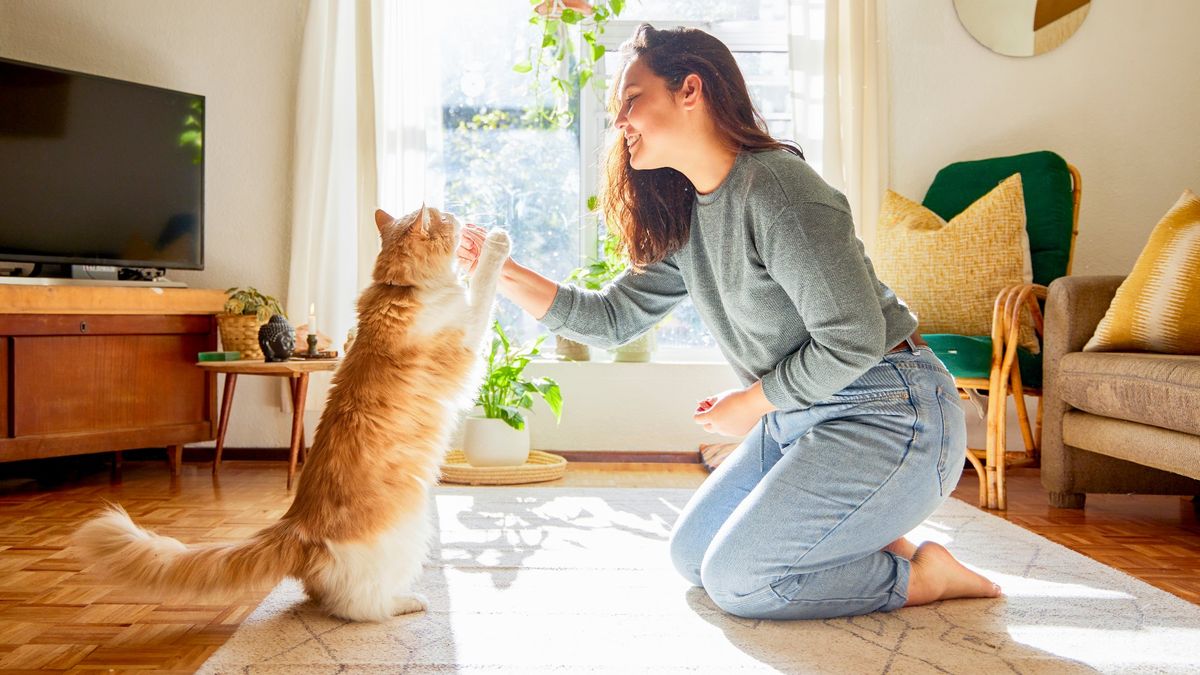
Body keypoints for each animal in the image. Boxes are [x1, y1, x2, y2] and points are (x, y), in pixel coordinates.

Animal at [70, 206, 511, 619]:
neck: (399, 289)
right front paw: (496, 244)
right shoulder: (468, 337)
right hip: (412, 533)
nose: (461, 217)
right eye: (447, 218)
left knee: (321, 596)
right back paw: (407, 602)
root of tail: (297, 526)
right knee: (356, 607)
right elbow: (483, 287)